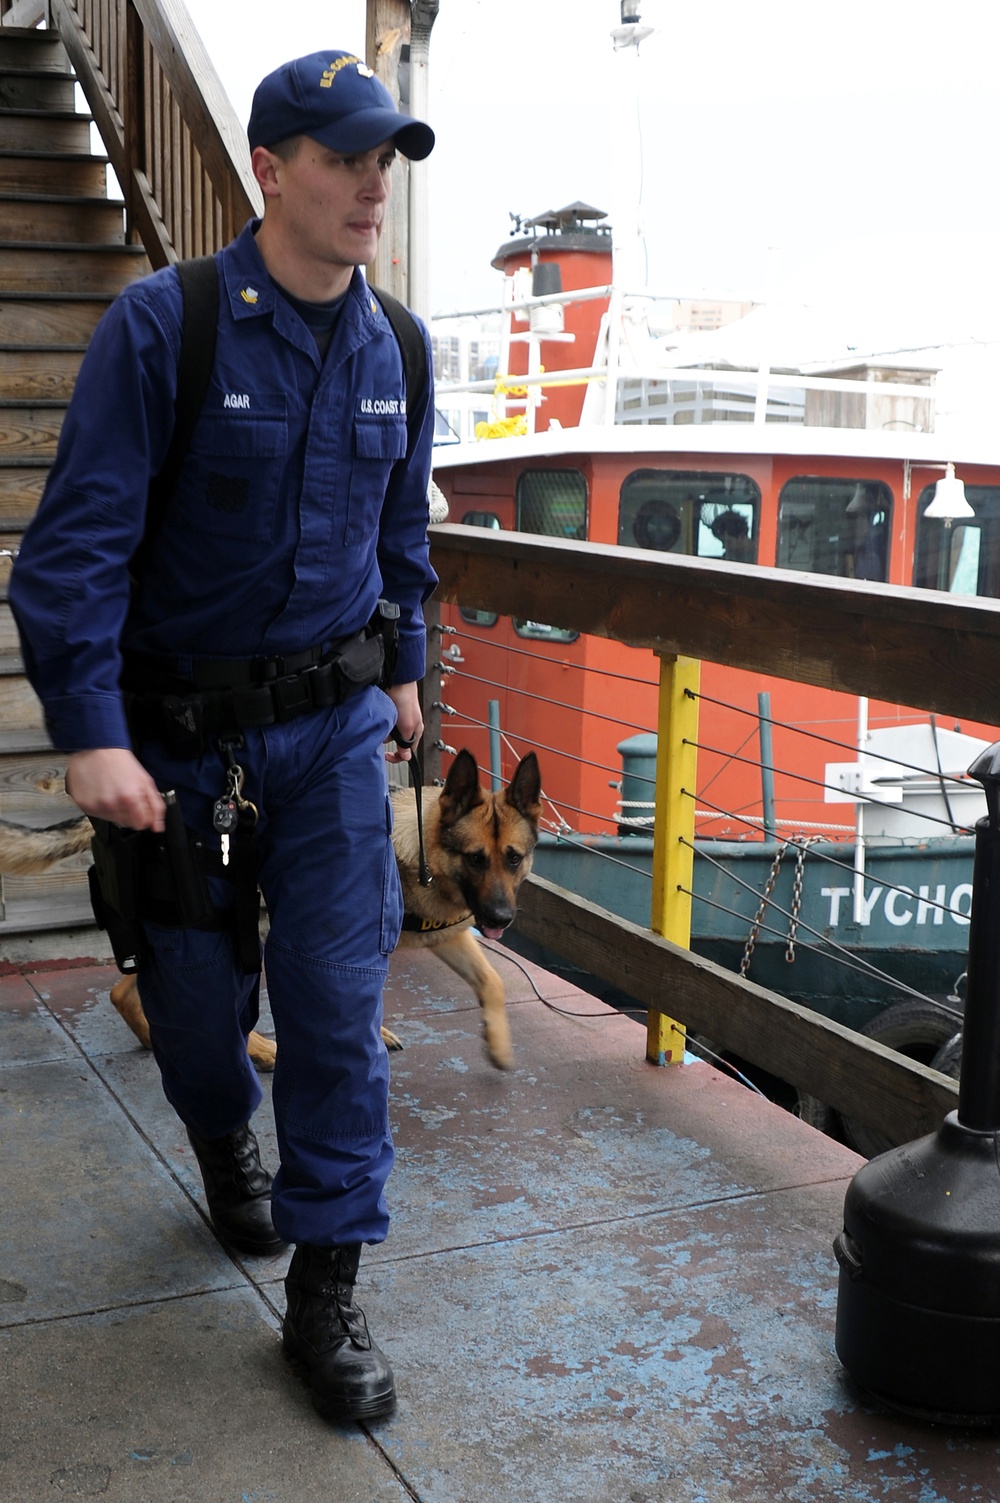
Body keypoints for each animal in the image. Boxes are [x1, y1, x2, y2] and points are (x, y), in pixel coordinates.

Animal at [0, 748, 541, 1070]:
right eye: (475, 858)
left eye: (513, 859)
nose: (501, 920)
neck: (422, 853)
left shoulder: (450, 936)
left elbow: (492, 981)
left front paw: (498, 1043)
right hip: (244, 933)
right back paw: (257, 1049)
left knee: (127, 994)